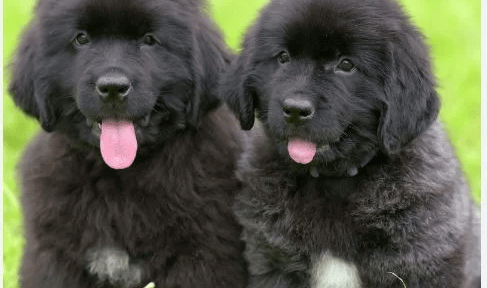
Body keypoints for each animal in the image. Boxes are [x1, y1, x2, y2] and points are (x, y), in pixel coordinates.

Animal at [9, 0, 248, 288]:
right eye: (82, 38)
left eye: (149, 40)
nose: (113, 87)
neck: (120, 178)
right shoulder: (54, 253)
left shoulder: (204, 253)